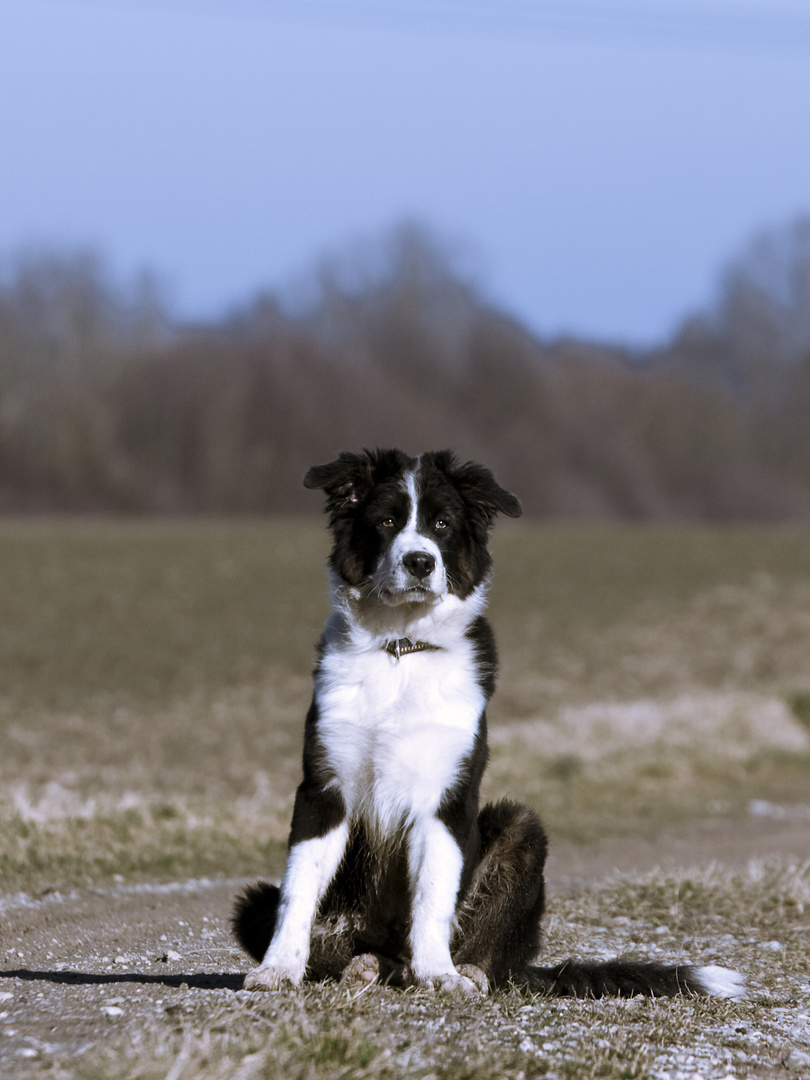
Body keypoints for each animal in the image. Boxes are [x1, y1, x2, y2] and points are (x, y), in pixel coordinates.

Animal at [231, 444, 747, 993]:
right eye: (387, 520)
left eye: (442, 523)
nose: (420, 562)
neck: (401, 649)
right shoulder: (324, 788)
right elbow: (299, 890)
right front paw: (278, 968)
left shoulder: (445, 797)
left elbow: (433, 897)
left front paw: (440, 974)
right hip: (260, 903)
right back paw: (364, 966)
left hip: (523, 830)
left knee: (491, 951)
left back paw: (464, 972)